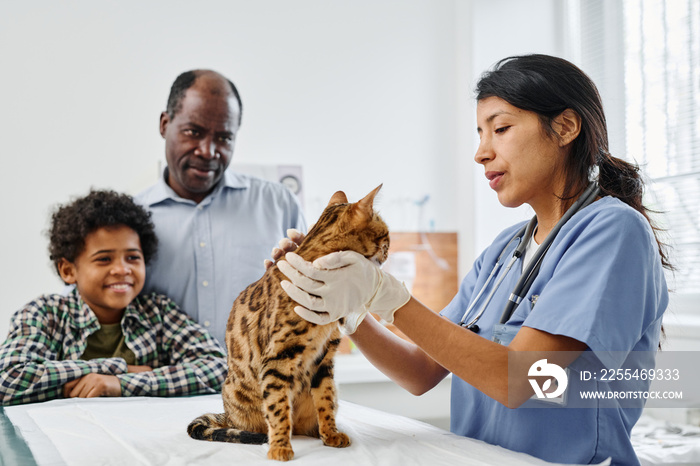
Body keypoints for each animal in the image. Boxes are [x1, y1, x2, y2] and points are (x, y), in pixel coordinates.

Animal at [189, 184, 392, 460]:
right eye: (387, 234)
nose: (390, 249)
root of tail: (227, 415)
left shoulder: (324, 359)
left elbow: (325, 401)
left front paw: (330, 433)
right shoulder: (277, 359)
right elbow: (278, 409)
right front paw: (279, 446)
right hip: (235, 394)